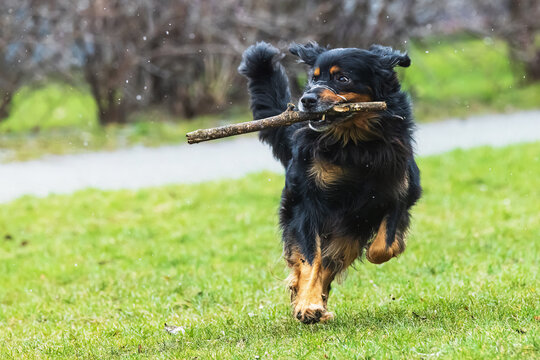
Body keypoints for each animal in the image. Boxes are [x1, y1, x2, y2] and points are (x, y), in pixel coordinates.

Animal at [237, 41, 422, 324]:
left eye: (342, 78)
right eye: (314, 78)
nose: (306, 100)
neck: (354, 145)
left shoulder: (400, 190)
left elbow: (383, 246)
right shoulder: (307, 203)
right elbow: (311, 258)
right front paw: (307, 303)